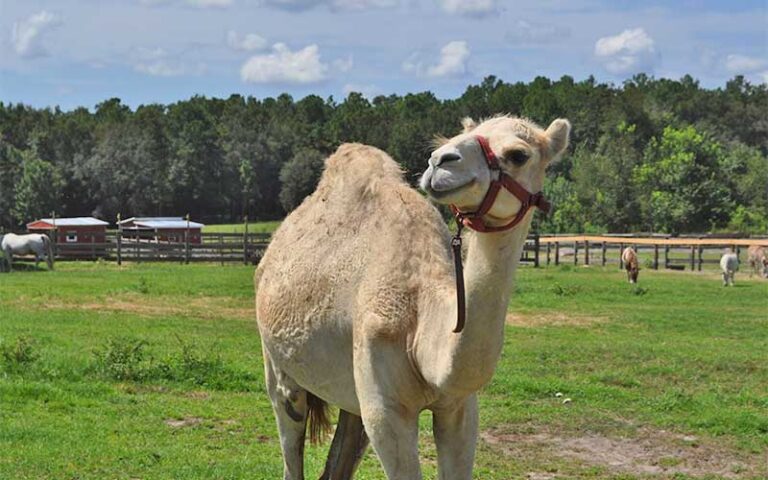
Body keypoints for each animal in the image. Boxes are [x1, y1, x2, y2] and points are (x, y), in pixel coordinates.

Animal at [256, 114, 568, 478]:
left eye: (518, 155)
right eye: (457, 137)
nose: (440, 161)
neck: (421, 329)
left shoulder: (459, 407)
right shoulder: (386, 409)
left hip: (352, 396)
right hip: (277, 366)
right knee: (290, 423)